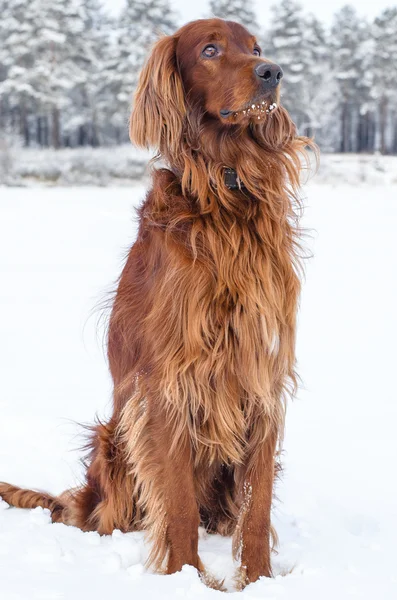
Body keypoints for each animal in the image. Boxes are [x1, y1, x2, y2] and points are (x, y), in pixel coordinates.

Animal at [0, 17, 316, 592]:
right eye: (210, 50)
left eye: (256, 47)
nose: (273, 72)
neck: (225, 190)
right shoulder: (169, 383)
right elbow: (179, 503)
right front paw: (186, 576)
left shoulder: (260, 374)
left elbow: (256, 507)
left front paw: (258, 580)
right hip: (115, 440)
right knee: (109, 515)